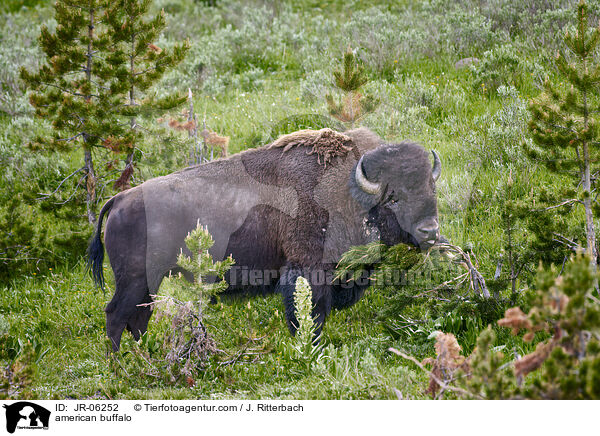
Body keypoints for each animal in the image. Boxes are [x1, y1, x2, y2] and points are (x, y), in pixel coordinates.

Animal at [89, 127, 442, 350]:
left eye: (430, 186)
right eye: (393, 198)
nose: (430, 231)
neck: (348, 190)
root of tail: (118, 200)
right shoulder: (306, 269)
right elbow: (308, 312)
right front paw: (308, 346)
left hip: (150, 281)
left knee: (138, 317)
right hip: (134, 279)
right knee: (116, 315)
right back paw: (120, 363)